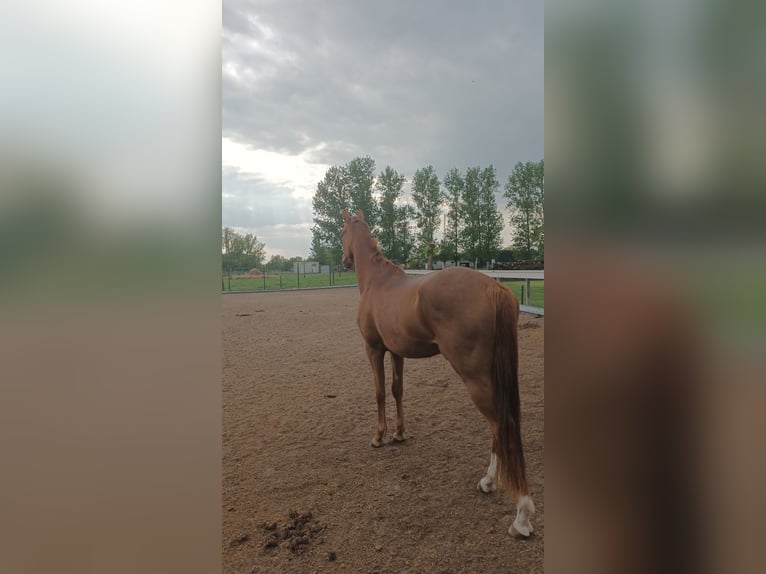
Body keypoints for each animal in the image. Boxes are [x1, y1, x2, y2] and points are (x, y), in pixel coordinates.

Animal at [342, 209, 536, 536]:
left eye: (342, 232)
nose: (344, 260)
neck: (377, 283)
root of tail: (494, 288)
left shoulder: (374, 349)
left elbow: (379, 392)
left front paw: (379, 436)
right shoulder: (396, 352)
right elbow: (397, 390)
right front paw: (399, 433)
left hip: (474, 377)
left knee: (500, 424)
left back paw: (520, 514)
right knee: (501, 424)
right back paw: (489, 482)